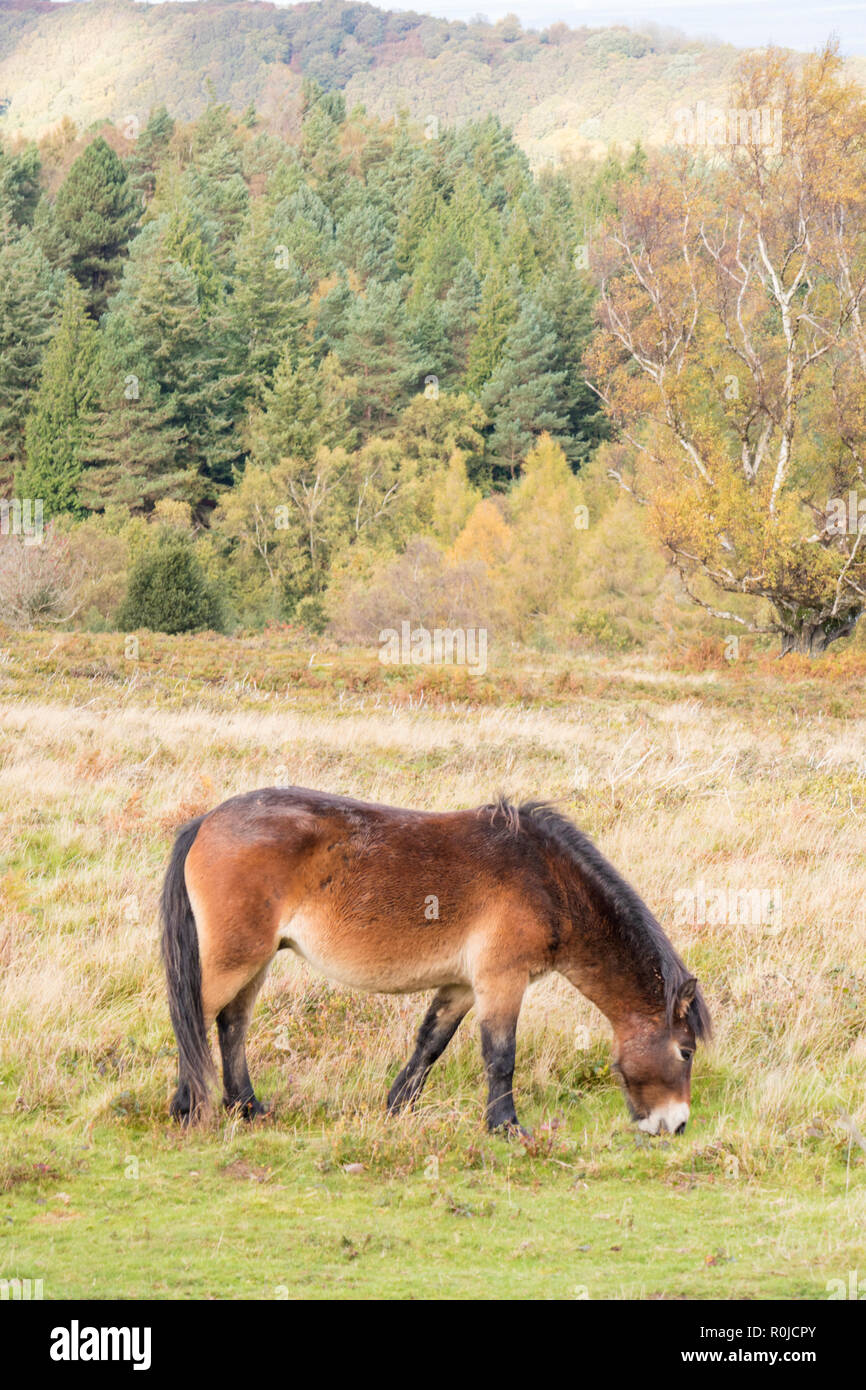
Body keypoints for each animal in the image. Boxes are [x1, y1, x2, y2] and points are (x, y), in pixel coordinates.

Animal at [161, 786, 711, 1134]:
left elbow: (430, 1043)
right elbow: (500, 1056)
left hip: (255, 961)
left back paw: (248, 1108)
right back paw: (187, 1107)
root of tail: (206, 821)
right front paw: (506, 1127)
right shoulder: (501, 981)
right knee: (195, 1017)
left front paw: (397, 1107)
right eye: (685, 1052)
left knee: (231, 1024)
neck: (546, 878)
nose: (677, 1126)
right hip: (235, 958)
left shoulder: (462, 986)